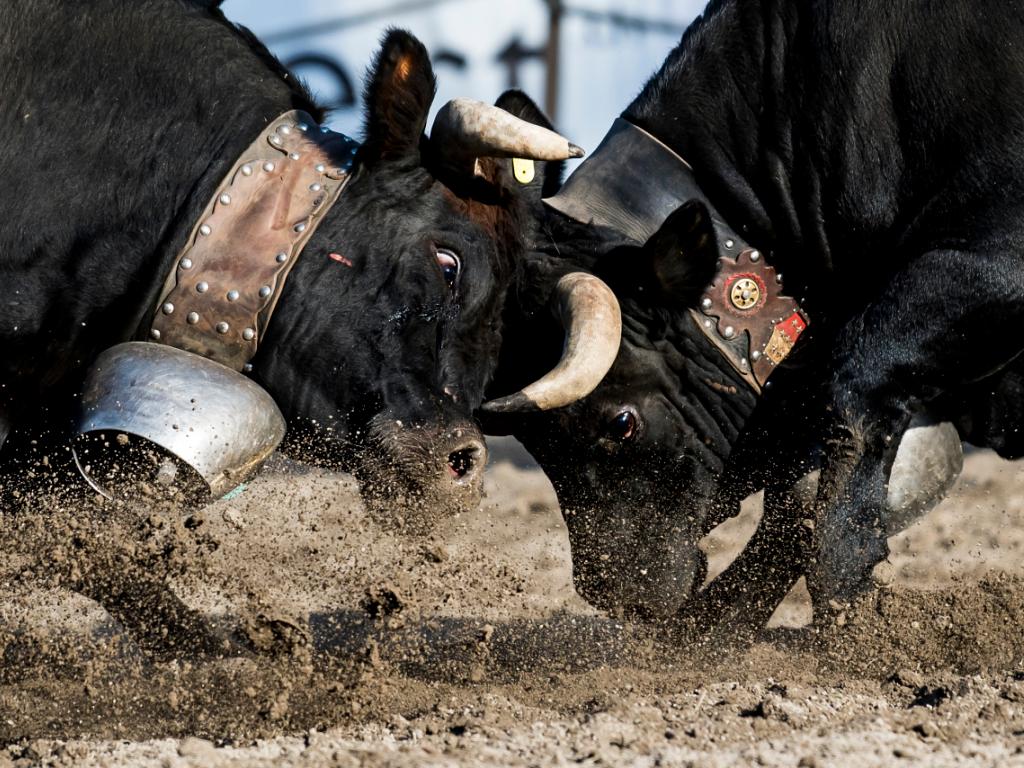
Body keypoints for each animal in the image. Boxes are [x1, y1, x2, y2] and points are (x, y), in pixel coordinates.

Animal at [482, 0, 1024, 635]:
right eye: (529, 437)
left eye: (620, 423)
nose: (609, 589)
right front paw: (705, 634)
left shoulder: (988, 265)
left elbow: (852, 394)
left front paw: (850, 608)